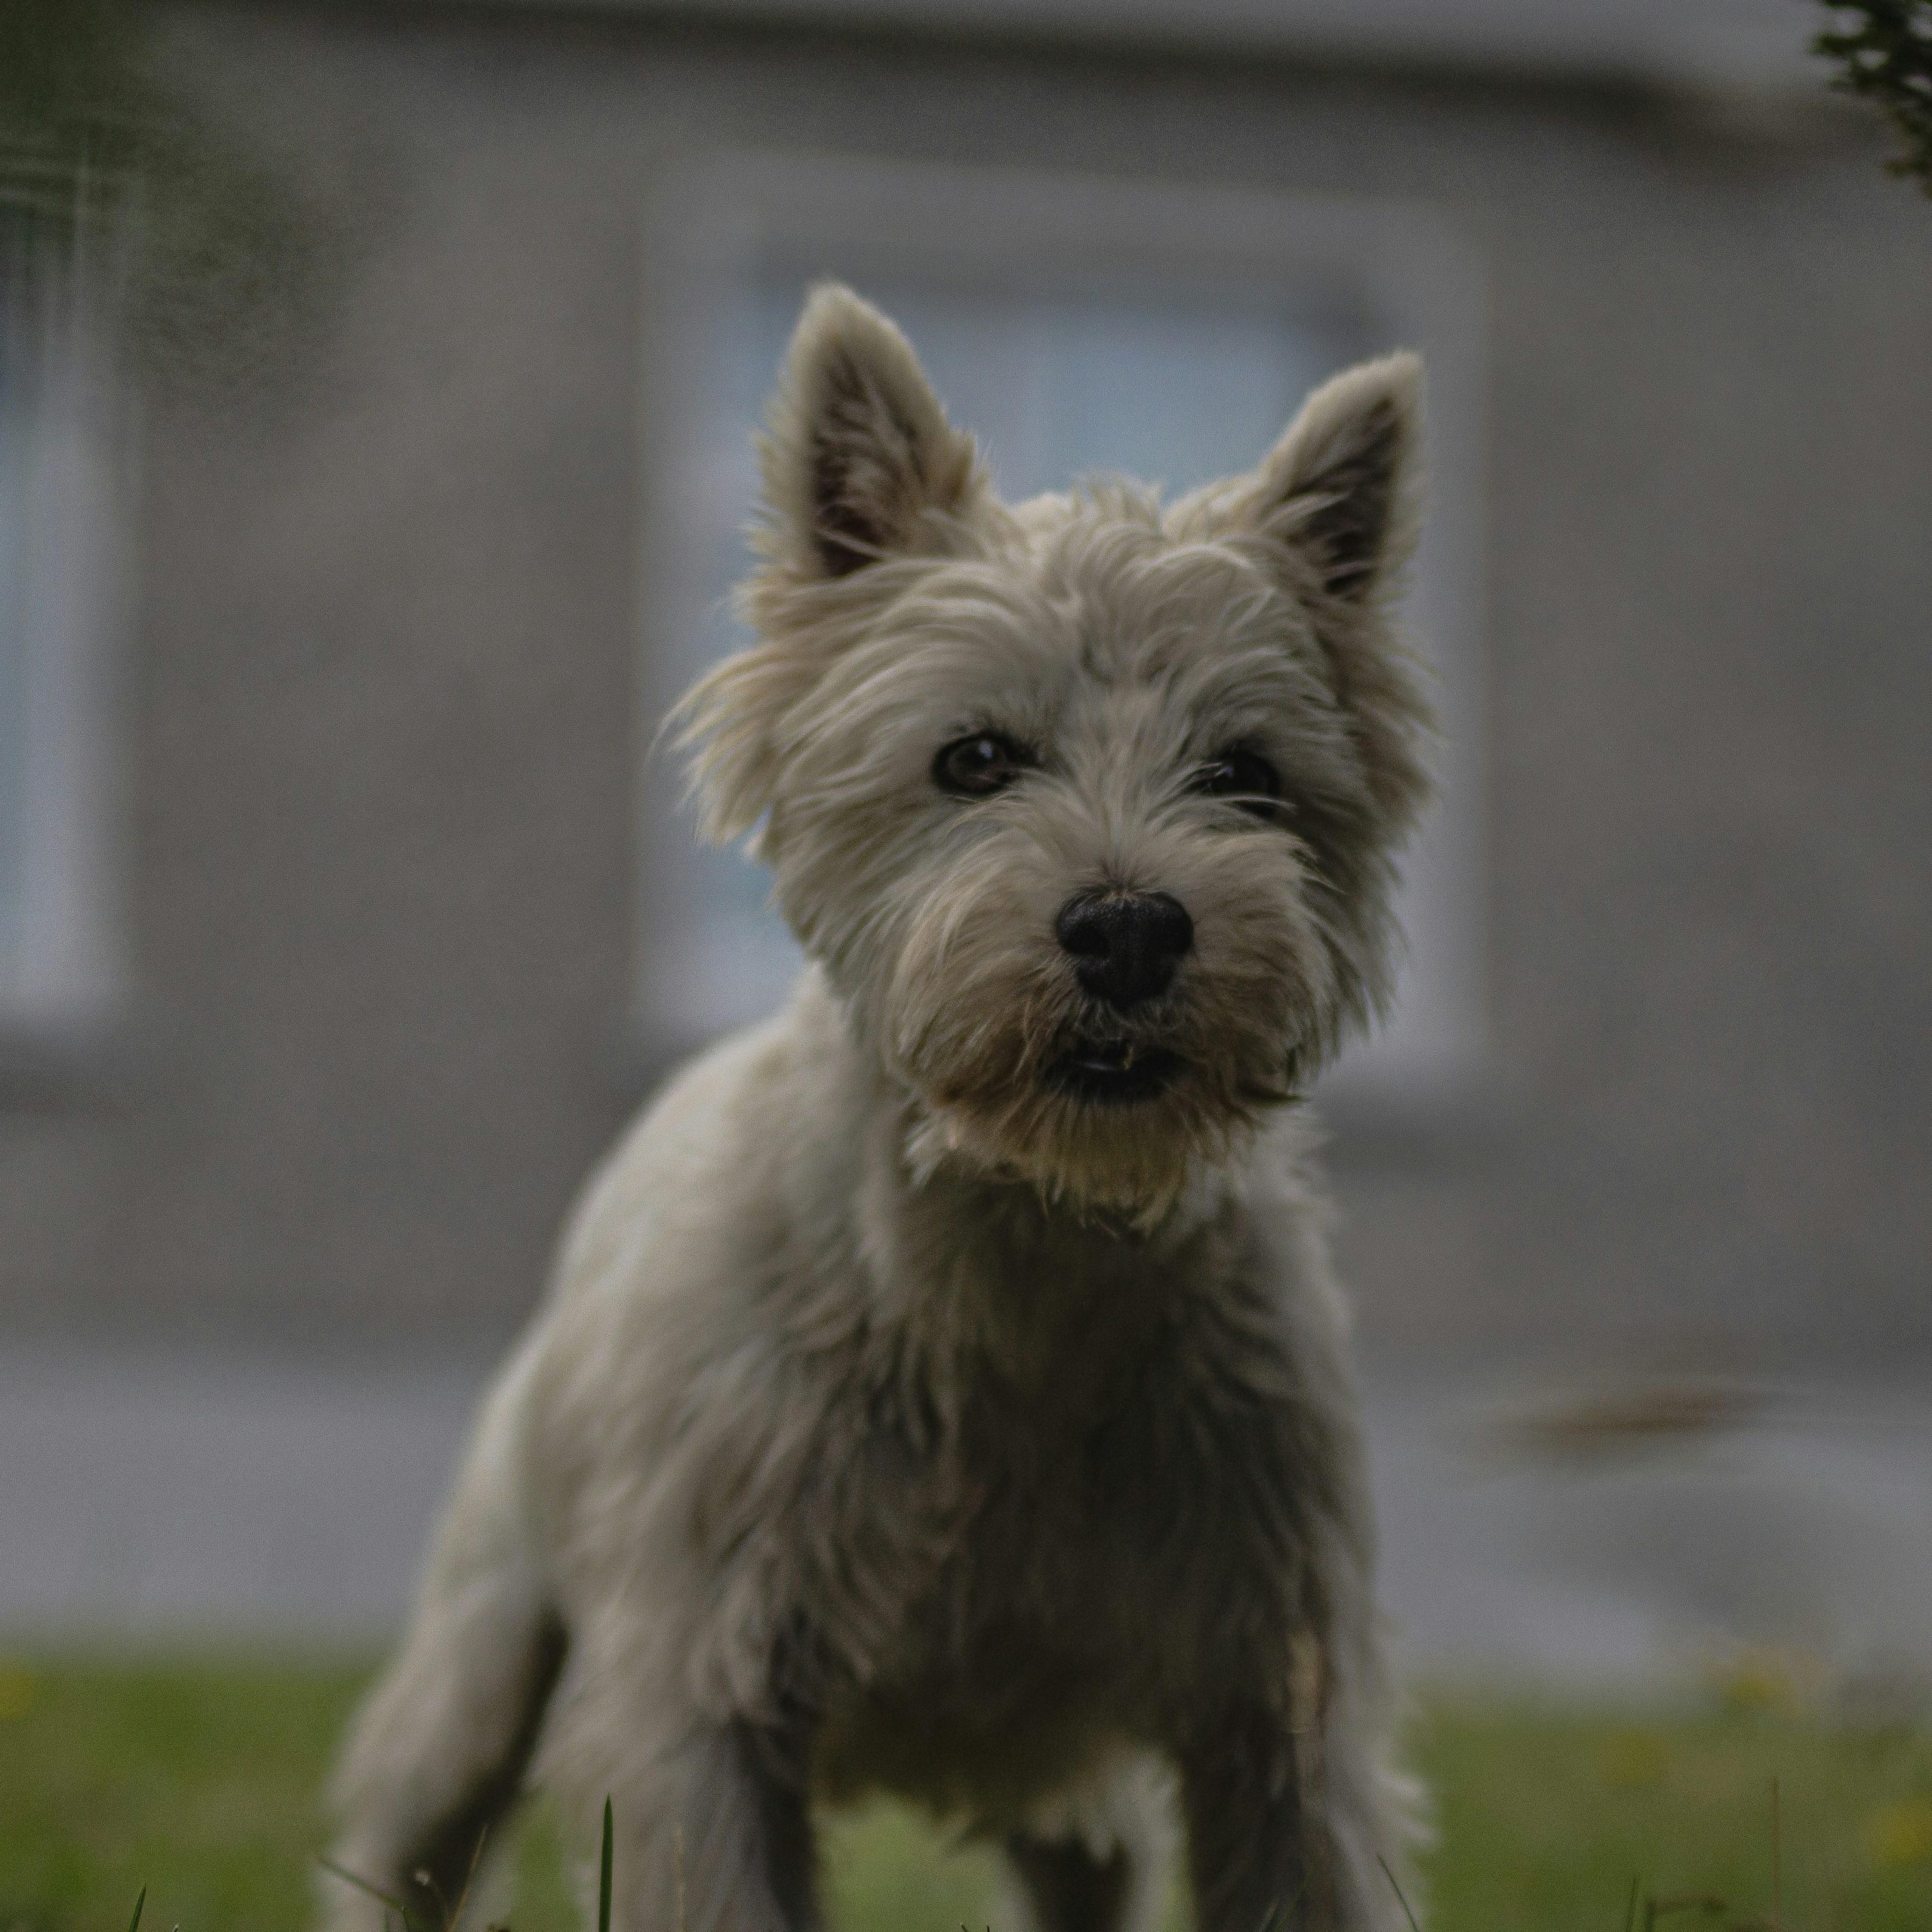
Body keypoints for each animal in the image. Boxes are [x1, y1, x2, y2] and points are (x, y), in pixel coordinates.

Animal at [320, 276, 1437, 1932]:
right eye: (971, 758)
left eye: (1247, 774)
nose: (1127, 928)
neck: (1017, 1268)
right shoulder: (696, 1702)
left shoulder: (1270, 1703)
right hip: (486, 1643)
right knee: (408, 1824)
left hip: (1071, 1796)